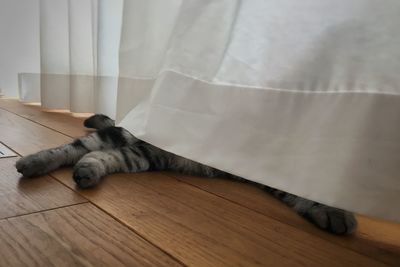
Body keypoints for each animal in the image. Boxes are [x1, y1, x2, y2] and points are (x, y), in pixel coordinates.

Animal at [14, 114, 356, 236]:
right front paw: (335, 210)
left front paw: (333, 210)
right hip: (124, 138)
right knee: (74, 147)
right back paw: (32, 162)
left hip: (144, 155)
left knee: (100, 156)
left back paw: (88, 172)